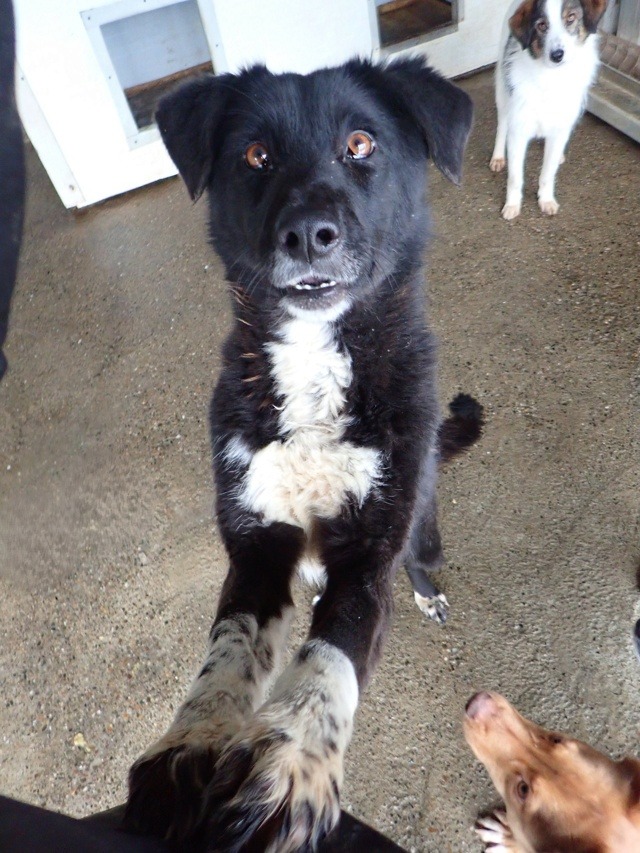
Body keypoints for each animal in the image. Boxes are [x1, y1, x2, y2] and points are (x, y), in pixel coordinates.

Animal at [123, 58, 481, 852]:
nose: (308, 235)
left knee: (420, 557)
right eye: (256, 154)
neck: (316, 368)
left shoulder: (368, 555)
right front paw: (189, 746)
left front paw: (291, 767)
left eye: (361, 143)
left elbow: (330, 657)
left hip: (424, 522)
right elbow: (228, 646)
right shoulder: (256, 544)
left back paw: (427, 591)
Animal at [491, 0, 607, 220]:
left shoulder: (560, 128)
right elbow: (515, 177)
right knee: (502, 123)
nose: (557, 55)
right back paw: (498, 156)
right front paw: (512, 205)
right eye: (542, 25)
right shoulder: (519, 131)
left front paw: (545, 200)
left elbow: (548, 173)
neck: (552, 77)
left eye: (571, 18)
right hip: (502, 89)